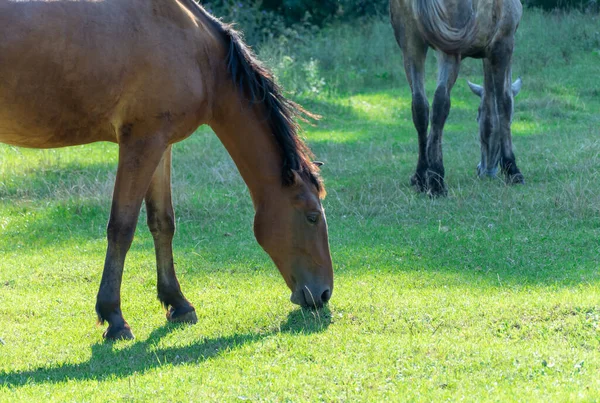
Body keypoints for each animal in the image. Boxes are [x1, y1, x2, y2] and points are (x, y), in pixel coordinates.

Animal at [0, 0, 332, 340]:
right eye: (312, 217)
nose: (323, 294)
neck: (197, 53)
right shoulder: (142, 142)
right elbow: (122, 228)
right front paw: (114, 316)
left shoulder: (161, 145)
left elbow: (163, 222)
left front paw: (177, 302)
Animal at [392, 0, 524, 197]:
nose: (486, 171)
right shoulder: (504, 44)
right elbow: (504, 103)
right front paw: (512, 170)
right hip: (448, 50)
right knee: (440, 102)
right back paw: (437, 181)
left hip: (411, 44)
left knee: (420, 106)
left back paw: (422, 176)